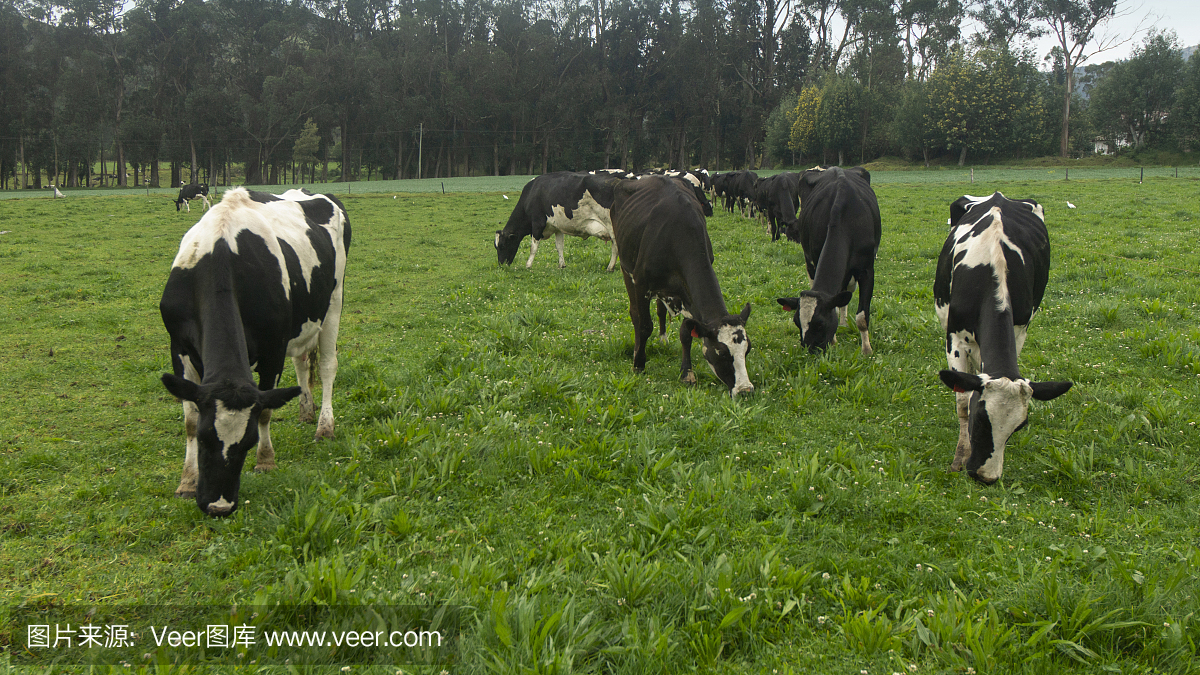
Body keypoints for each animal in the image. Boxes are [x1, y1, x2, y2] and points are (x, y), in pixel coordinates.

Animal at [158, 186, 348, 511]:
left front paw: (266, 461)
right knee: (302, 362)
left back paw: (324, 426)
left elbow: (264, 411)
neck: (221, 254)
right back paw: (305, 410)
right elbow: (190, 420)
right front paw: (187, 482)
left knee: (326, 367)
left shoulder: (274, 348)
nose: (219, 506)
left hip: (334, 300)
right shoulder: (178, 347)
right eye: (207, 439)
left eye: (247, 443)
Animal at [614, 172, 753, 396]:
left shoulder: (686, 292)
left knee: (661, 310)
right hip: (626, 268)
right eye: (722, 353)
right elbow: (644, 325)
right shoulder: (642, 283)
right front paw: (639, 365)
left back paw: (663, 339)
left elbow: (686, 332)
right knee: (635, 314)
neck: (679, 233)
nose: (745, 389)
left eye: (747, 349)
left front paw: (687, 373)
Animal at [777, 165, 883, 355]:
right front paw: (834, 342)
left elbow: (862, 316)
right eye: (797, 323)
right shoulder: (816, 258)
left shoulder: (866, 269)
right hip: (810, 262)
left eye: (820, 324)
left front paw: (867, 350)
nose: (810, 351)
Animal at [931, 192, 1075, 480]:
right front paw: (960, 457)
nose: (986, 477)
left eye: (1019, 427)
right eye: (980, 418)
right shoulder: (955, 338)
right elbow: (962, 400)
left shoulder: (1019, 331)